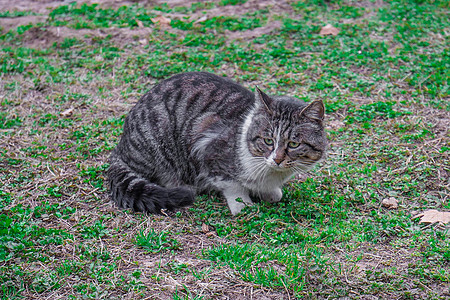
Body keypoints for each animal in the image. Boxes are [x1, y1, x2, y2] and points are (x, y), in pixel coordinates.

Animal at [109, 71, 326, 214]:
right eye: (268, 141)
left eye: (294, 145)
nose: (278, 159)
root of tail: (120, 149)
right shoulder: (207, 147)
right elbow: (232, 186)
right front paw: (243, 205)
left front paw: (269, 193)